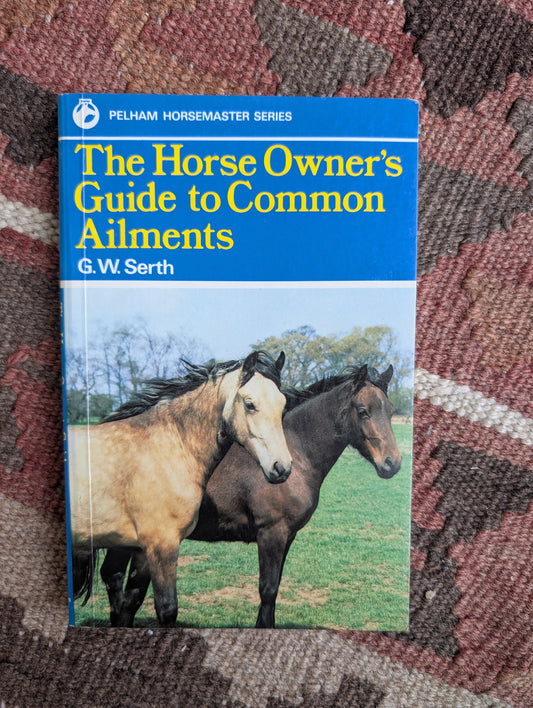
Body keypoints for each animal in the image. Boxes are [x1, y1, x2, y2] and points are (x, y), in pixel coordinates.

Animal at [68, 350, 292, 627]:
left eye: (283, 404)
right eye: (250, 404)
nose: (282, 467)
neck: (170, 447)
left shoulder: (142, 550)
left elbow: (129, 604)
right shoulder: (163, 546)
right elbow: (166, 609)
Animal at [101, 364, 402, 628]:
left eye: (390, 411)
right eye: (363, 411)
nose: (393, 464)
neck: (296, 453)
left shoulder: (287, 536)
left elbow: (274, 587)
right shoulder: (272, 533)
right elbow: (267, 590)